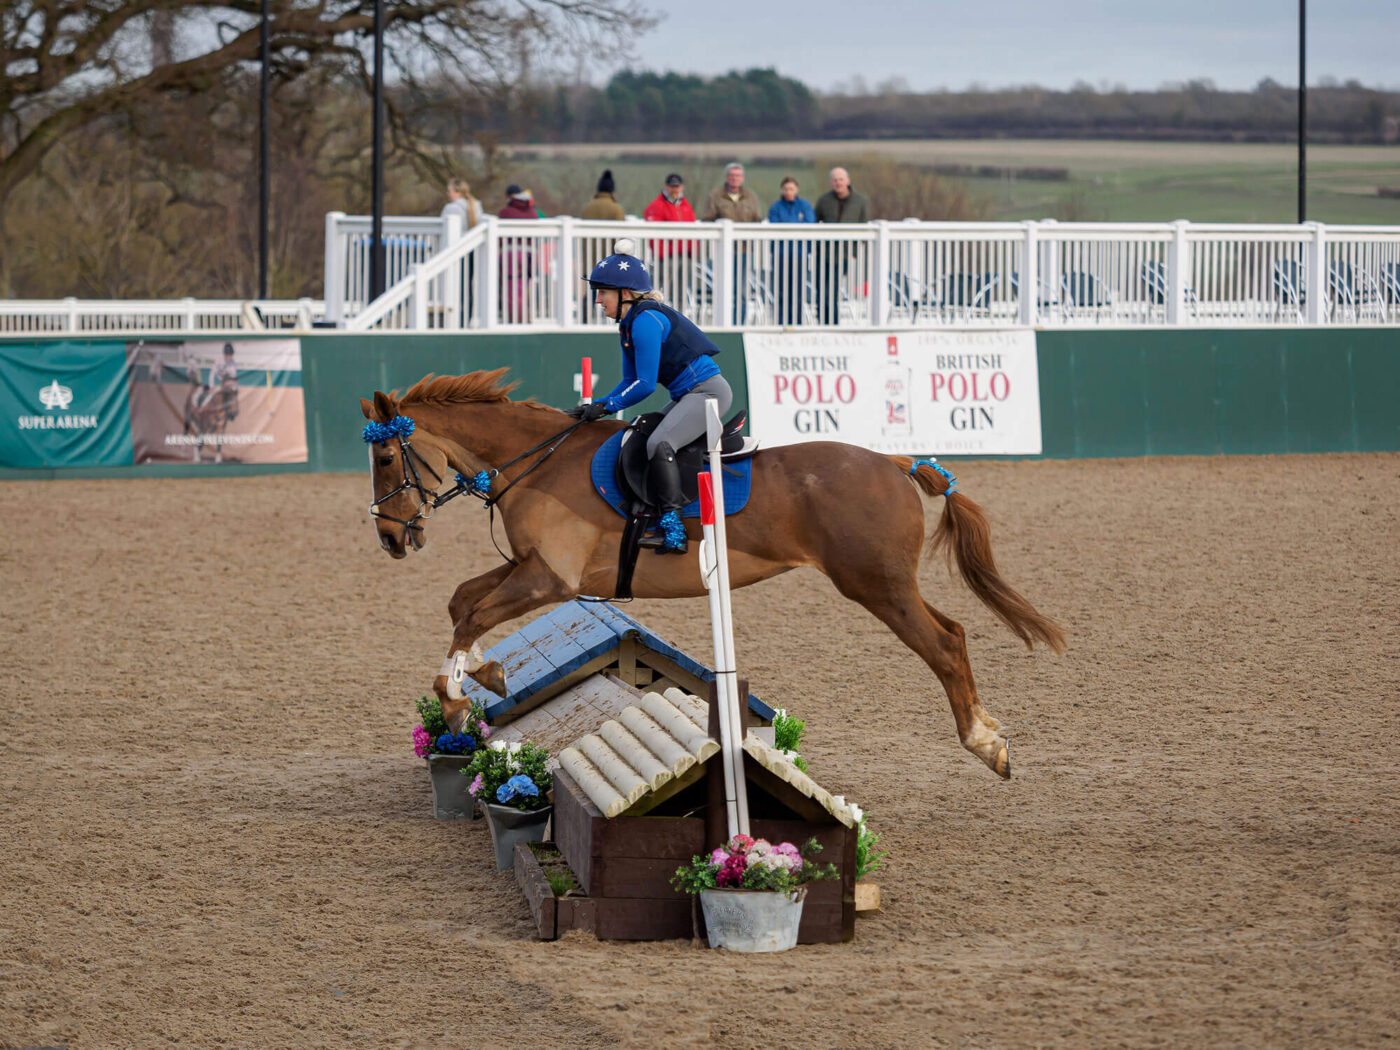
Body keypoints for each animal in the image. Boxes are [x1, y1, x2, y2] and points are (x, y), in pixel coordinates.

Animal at [361, 369, 1058, 784]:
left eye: (387, 455)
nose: (390, 539)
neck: (537, 463)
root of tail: (892, 462)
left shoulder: (550, 581)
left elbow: (473, 613)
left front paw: (455, 700)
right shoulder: (530, 568)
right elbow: (462, 603)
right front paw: (486, 672)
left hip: (876, 587)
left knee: (943, 645)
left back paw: (985, 744)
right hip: (884, 585)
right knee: (956, 633)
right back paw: (990, 734)